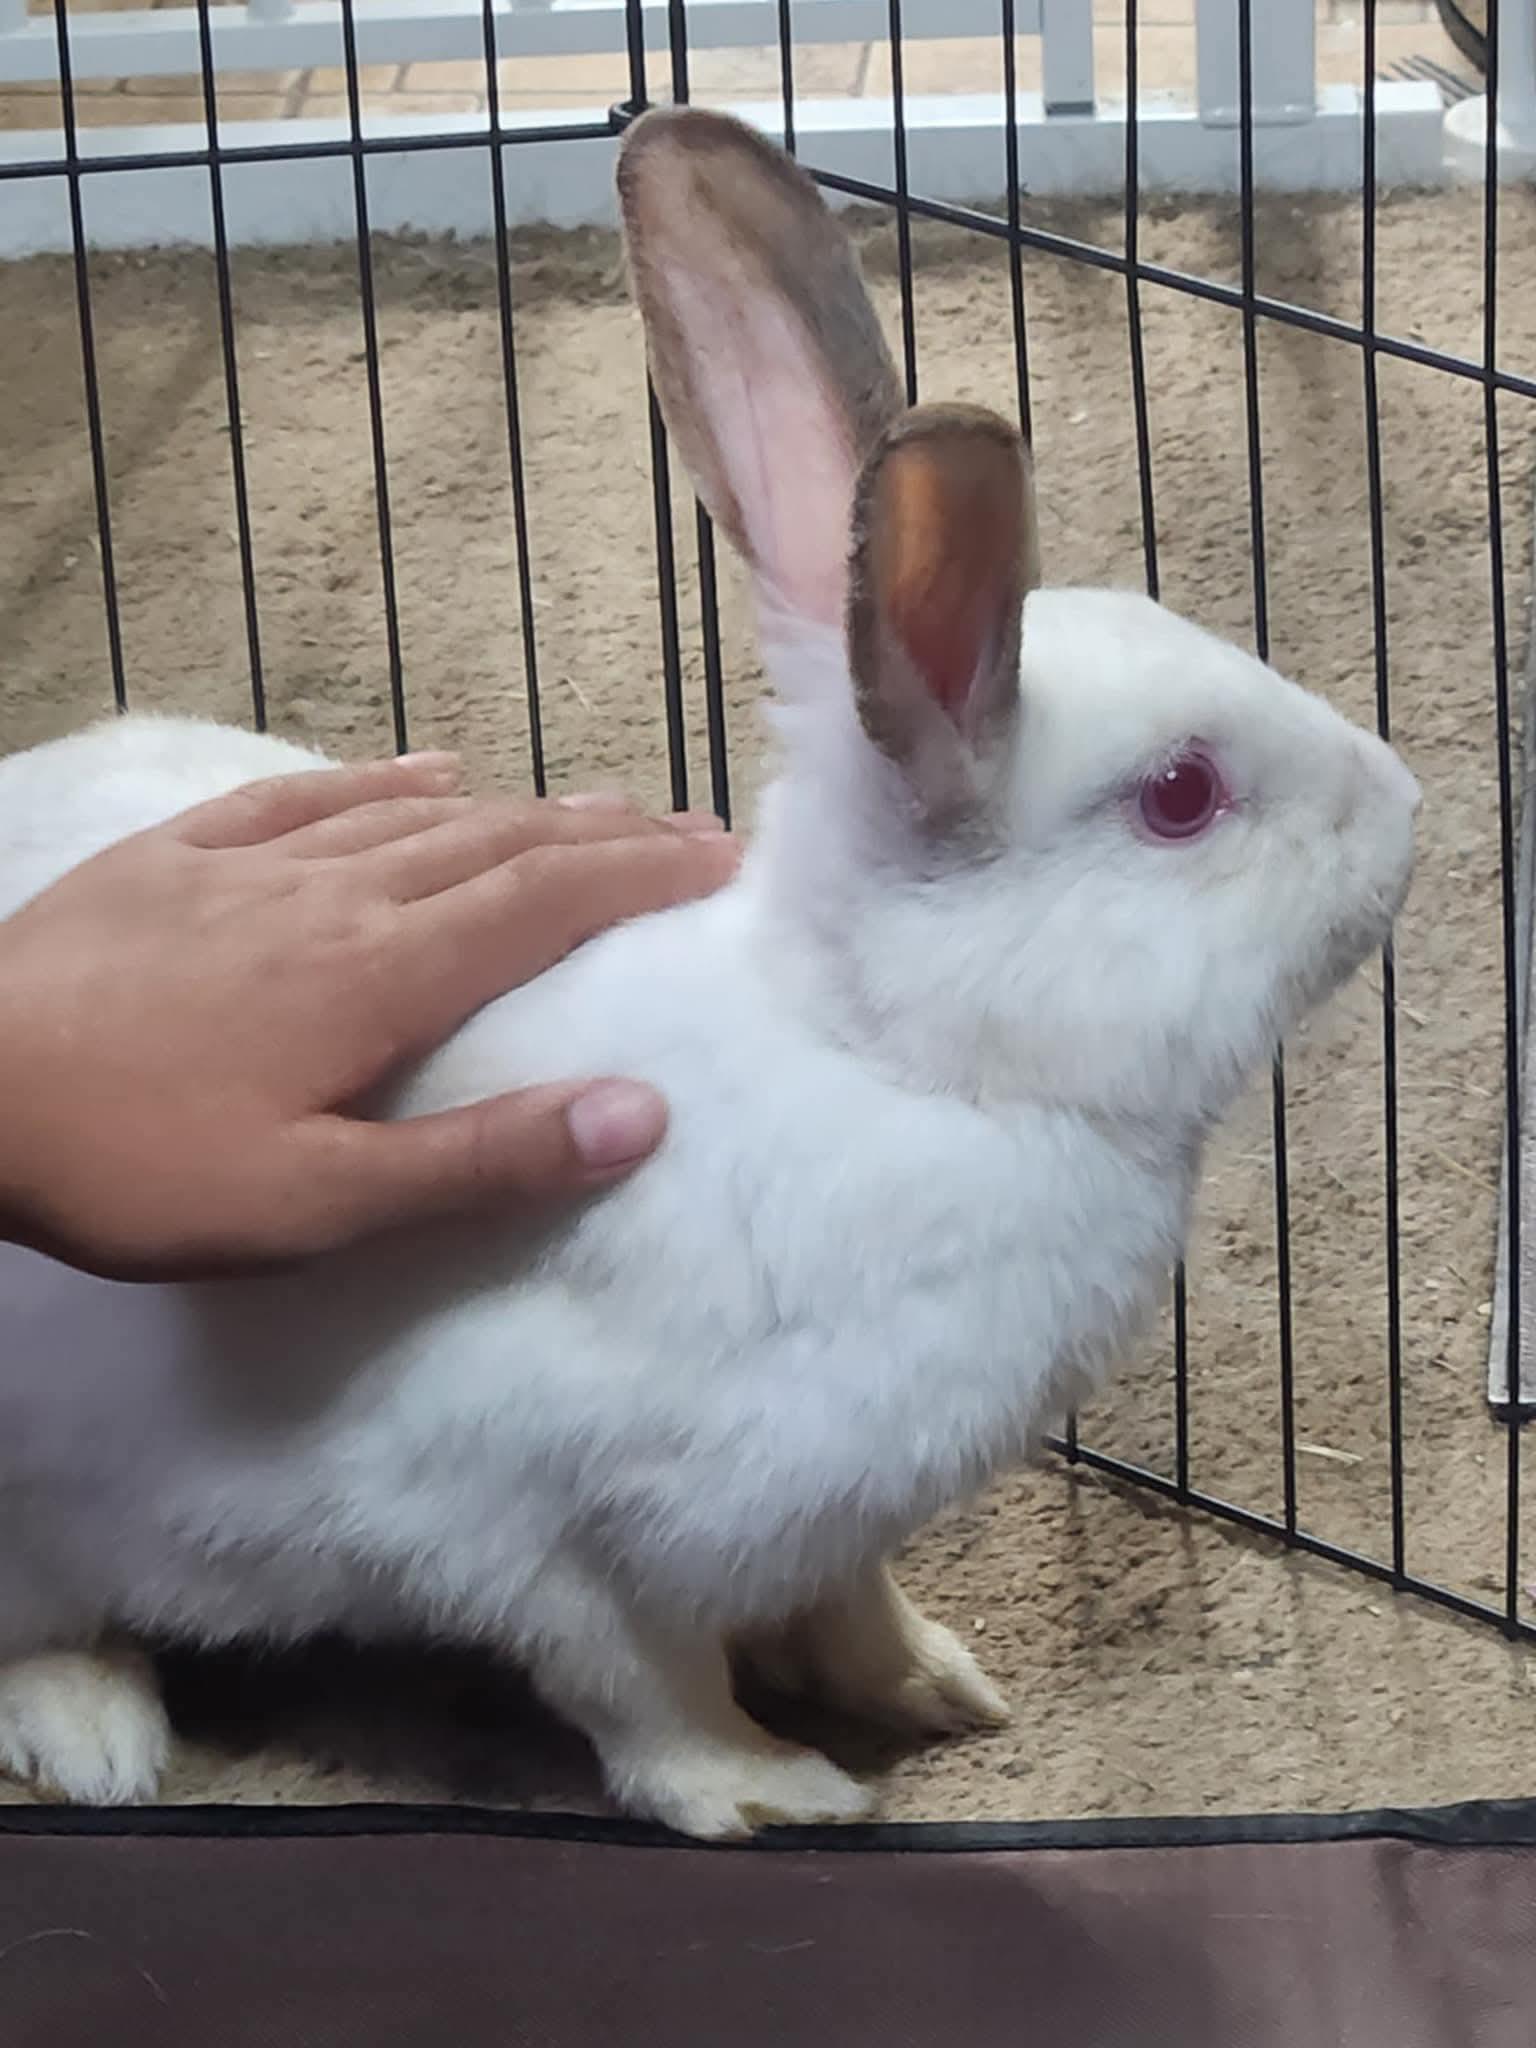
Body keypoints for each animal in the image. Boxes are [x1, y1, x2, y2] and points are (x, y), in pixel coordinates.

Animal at [0, 106, 1419, 1840]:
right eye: (1182, 796)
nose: (1410, 811)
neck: (887, 1061)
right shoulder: (527, 1516)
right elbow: (645, 1689)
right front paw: (782, 1793)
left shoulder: (828, 1518)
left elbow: (846, 1603)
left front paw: (933, 1688)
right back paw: (96, 1739)